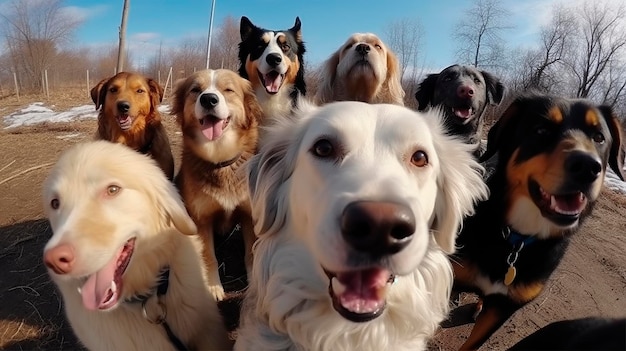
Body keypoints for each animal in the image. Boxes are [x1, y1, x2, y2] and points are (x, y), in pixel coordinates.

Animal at [169, 69, 262, 302]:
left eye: (228, 90)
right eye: (195, 90)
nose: (209, 99)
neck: (219, 158)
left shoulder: (249, 216)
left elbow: (251, 253)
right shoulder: (201, 220)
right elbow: (208, 256)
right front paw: (212, 287)